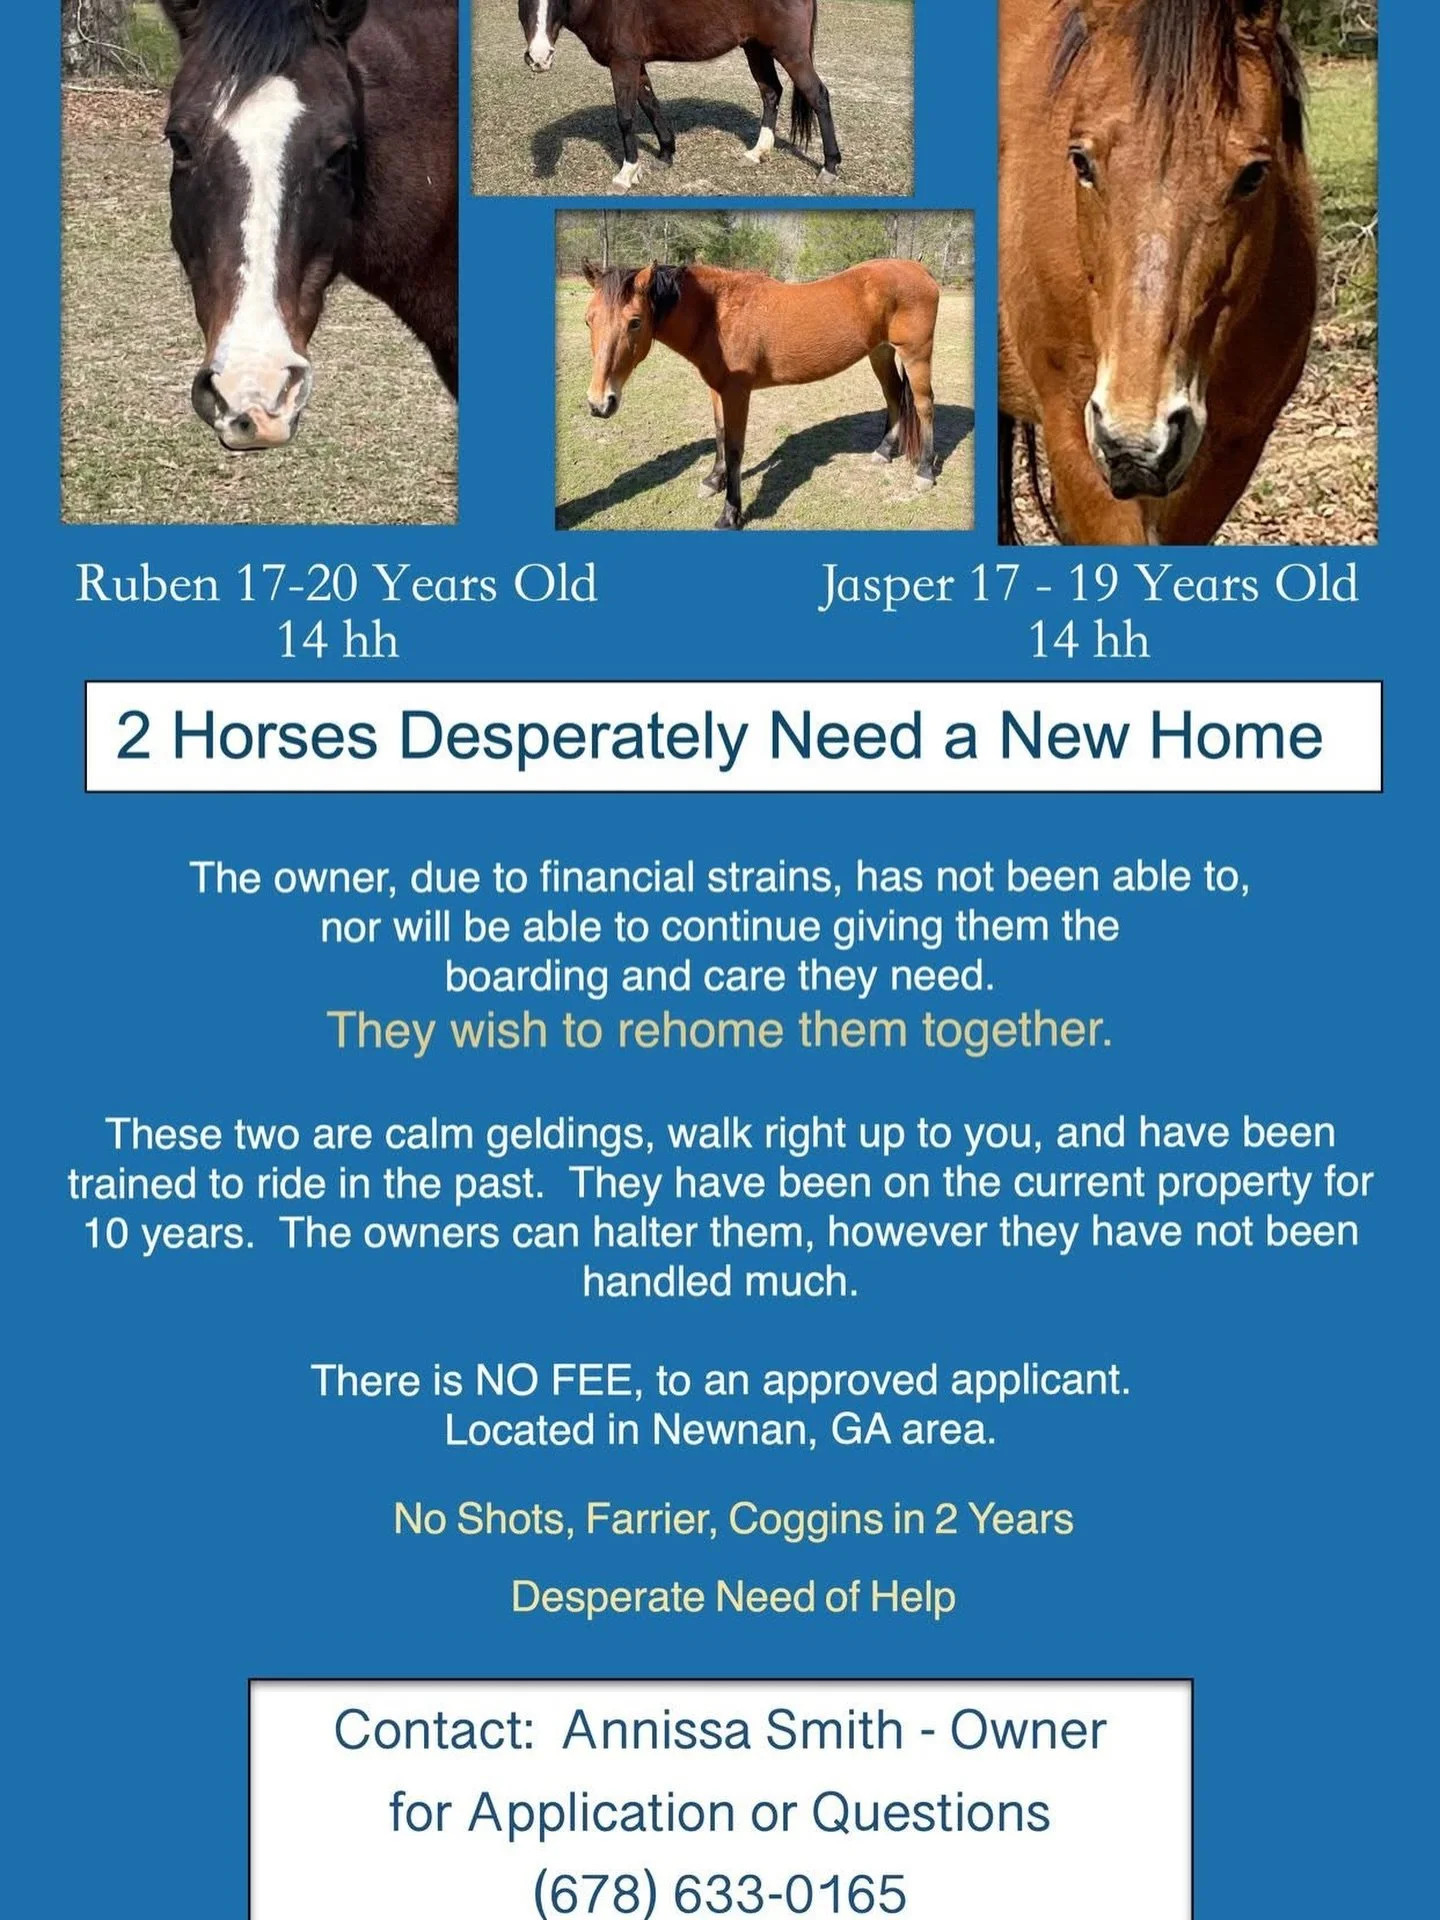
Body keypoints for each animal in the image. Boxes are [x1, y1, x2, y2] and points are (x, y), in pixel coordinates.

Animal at [518, 0, 840, 190]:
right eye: (525, 3)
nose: (539, 58)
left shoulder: (623, 62)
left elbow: (625, 117)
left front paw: (626, 174)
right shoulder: (636, 64)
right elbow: (650, 104)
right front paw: (665, 153)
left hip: (791, 53)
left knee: (818, 97)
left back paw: (830, 166)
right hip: (755, 47)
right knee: (771, 92)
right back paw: (757, 153)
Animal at [581, 257, 938, 527]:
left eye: (635, 322)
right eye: (588, 320)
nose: (600, 403)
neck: (717, 315)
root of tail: (921, 270)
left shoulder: (737, 393)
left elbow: (735, 448)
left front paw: (730, 514)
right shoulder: (717, 390)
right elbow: (720, 434)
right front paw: (713, 481)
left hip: (916, 354)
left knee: (924, 406)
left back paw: (924, 472)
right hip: (880, 352)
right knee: (893, 395)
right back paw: (884, 450)